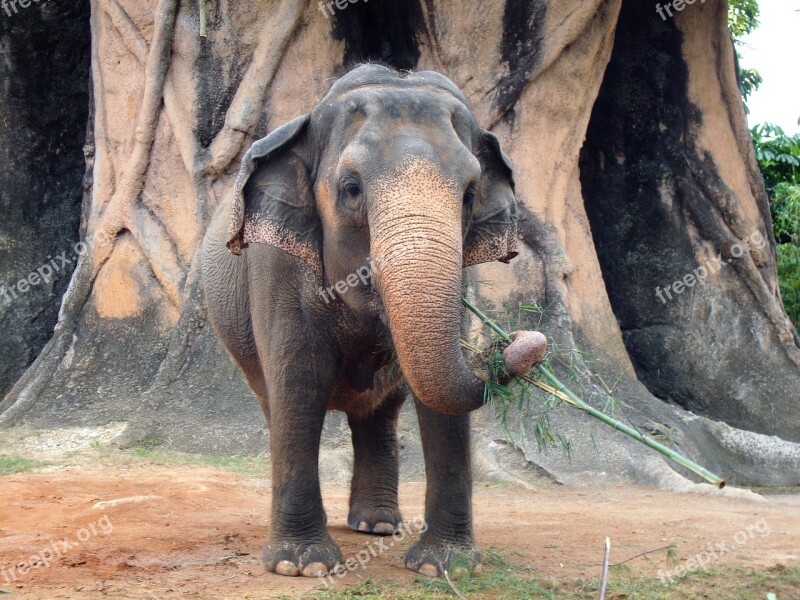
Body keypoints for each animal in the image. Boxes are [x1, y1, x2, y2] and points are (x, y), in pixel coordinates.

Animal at [203, 63, 548, 580]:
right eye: (351, 189)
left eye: (469, 196)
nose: (525, 340)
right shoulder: (275, 264)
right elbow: (300, 379)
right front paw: (300, 566)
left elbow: (439, 402)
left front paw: (445, 567)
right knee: (277, 404)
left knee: (382, 412)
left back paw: (378, 526)